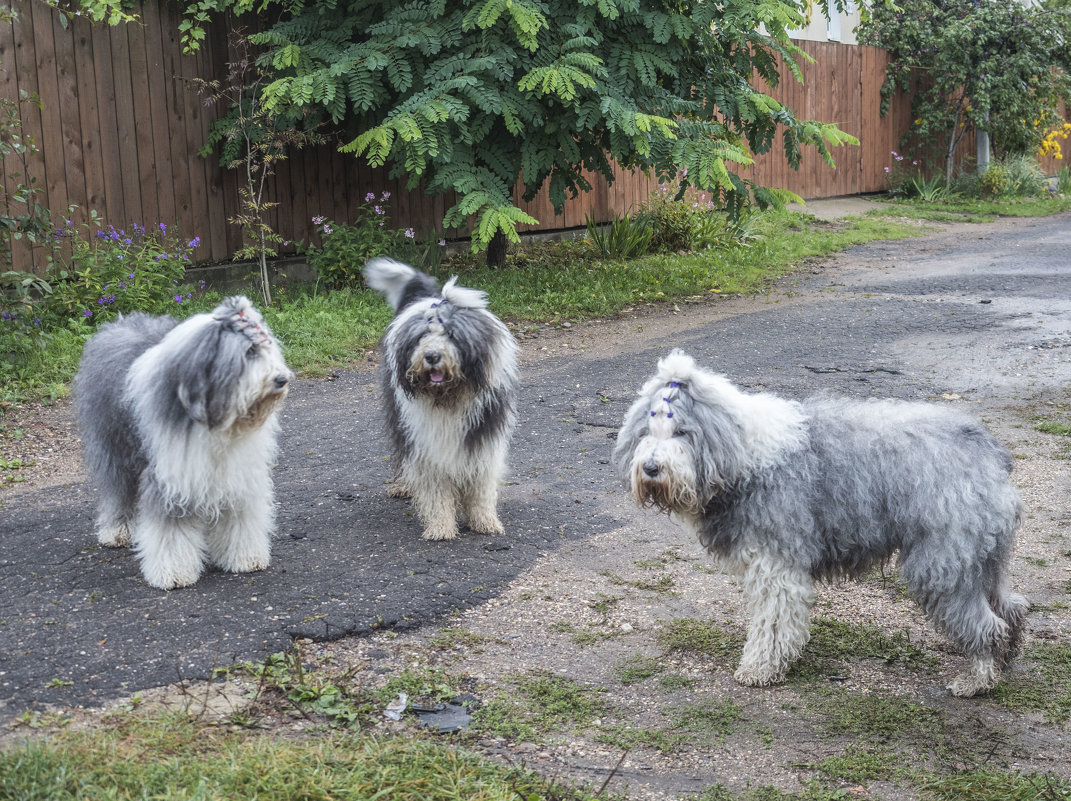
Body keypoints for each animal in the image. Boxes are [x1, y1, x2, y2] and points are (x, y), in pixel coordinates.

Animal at [74, 297, 293, 591]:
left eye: (268, 347)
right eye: (249, 351)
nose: (282, 379)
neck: (218, 419)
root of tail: (119, 322)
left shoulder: (237, 473)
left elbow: (239, 516)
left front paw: (245, 557)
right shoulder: (170, 478)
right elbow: (171, 529)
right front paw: (174, 573)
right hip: (115, 447)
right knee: (118, 491)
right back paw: (117, 531)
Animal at [366, 260, 520, 541]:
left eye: (451, 335)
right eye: (422, 337)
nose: (431, 356)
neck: (449, 398)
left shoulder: (482, 439)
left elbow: (481, 485)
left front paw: (485, 521)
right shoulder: (426, 446)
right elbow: (435, 489)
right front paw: (440, 526)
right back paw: (403, 485)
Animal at [621, 349, 1028, 693]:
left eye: (681, 432)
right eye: (646, 431)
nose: (651, 468)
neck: (741, 454)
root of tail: (988, 450)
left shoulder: (776, 564)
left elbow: (773, 623)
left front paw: (759, 668)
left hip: (942, 562)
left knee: (988, 626)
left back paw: (977, 680)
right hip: (981, 559)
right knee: (1010, 609)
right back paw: (1003, 663)